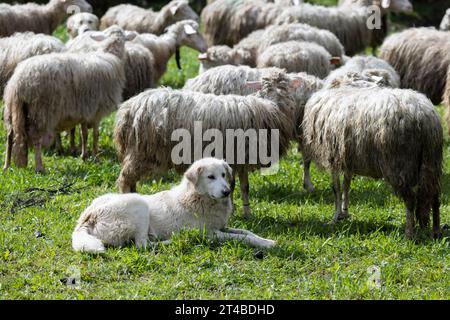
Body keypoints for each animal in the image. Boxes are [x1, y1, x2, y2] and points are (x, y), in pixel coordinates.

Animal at [3, 26, 134, 172]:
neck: (111, 55)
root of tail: (19, 82)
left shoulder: (85, 109)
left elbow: (84, 134)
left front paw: (84, 156)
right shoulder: (97, 110)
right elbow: (95, 135)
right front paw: (95, 156)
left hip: (12, 108)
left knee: (10, 135)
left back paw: (6, 166)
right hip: (40, 111)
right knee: (36, 137)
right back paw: (39, 167)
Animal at [72, 158, 276, 252]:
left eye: (224, 175)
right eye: (211, 177)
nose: (226, 192)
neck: (196, 197)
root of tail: (86, 218)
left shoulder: (222, 227)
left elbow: (247, 232)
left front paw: (268, 240)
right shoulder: (212, 233)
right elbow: (242, 238)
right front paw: (265, 244)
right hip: (138, 204)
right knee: (142, 245)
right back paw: (177, 240)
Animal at [114, 72, 300, 218]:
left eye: (285, 86)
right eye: (269, 86)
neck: (271, 107)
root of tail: (127, 110)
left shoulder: (238, 159)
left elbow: (242, 186)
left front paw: (242, 212)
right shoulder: (242, 153)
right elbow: (238, 186)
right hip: (141, 152)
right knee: (125, 178)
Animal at [302, 74, 442, 239]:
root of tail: (424, 117)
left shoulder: (332, 156)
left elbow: (336, 188)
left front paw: (335, 218)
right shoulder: (347, 157)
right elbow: (346, 185)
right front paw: (344, 213)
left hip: (398, 165)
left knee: (410, 200)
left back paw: (409, 234)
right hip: (431, 162)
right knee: (434, 197)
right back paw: (436, 231)